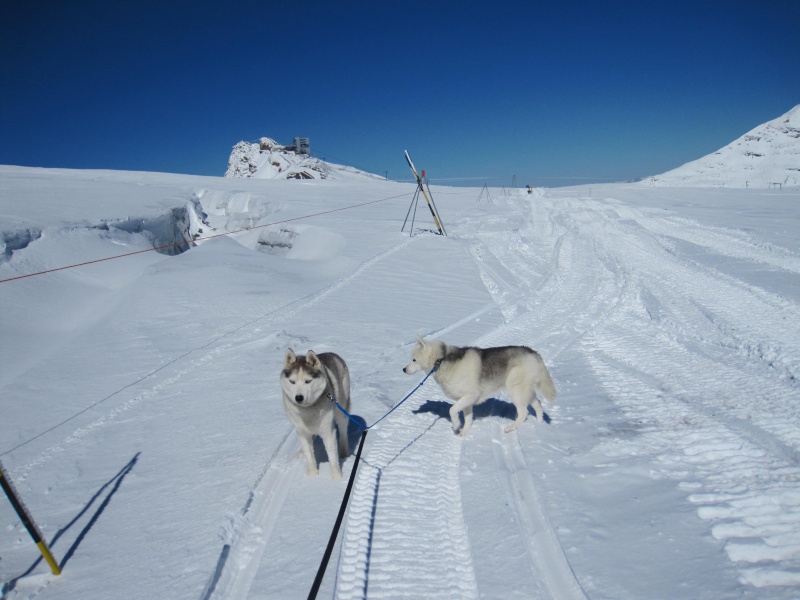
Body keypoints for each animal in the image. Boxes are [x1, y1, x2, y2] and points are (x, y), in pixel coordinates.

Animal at [282, 346, 350, 478]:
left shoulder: (328, 432)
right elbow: (310, 456)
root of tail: (331, 353)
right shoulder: (302, 432)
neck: (307, 409)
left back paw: (344, 453)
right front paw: (313, 476)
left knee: (343, 428)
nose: (298, 397)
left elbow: (332, 457)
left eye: (308, 381)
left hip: (341, 410)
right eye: (292, 382)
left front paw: (337, 479)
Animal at [404, 332, 552, 436]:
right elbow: (468, 418)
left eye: (414, 360)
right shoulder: (466, 401)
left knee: (523, 412)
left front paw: (456, 425)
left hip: (515, 390)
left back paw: (511, 428)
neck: (441, 360)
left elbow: (452, 410)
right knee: (538, 405)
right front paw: (463, 433)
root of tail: (534, 353)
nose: (404, 369)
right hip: (526, 392)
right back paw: (540, 425)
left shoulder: (471, 396)